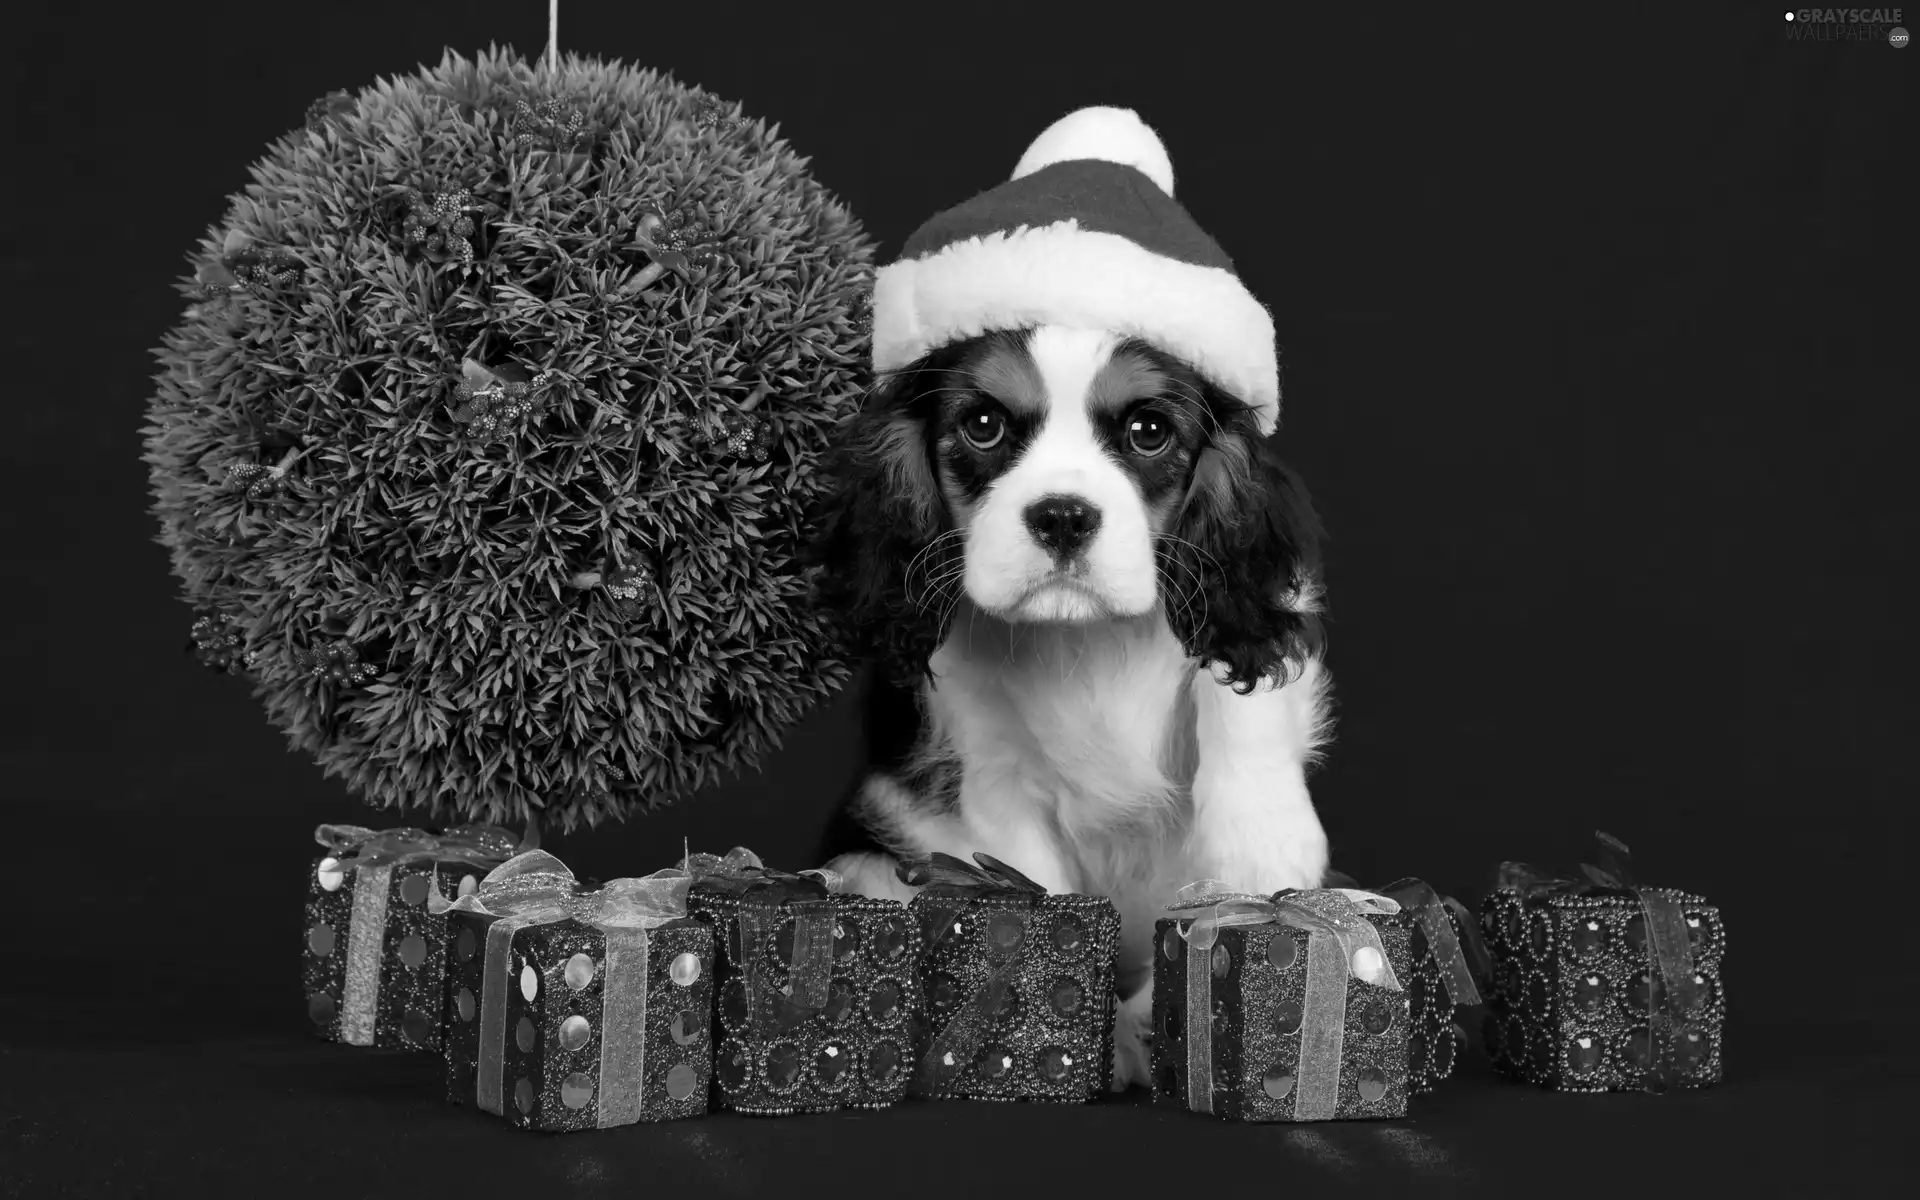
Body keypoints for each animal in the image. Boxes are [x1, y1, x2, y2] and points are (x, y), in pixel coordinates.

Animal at [810, 318, 1336, 1082]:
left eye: (1148, 431)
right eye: (984, 425)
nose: (1062, 516)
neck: (1084, 639)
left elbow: (1238, 686)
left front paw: (1263, 835)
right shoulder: (993, 780)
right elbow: (1036, 890)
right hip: (869, 864)